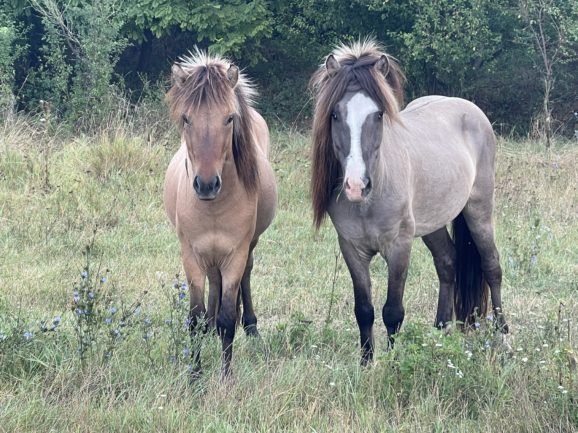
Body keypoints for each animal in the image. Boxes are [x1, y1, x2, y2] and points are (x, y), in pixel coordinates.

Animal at [164, 49, 276, 374]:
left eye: (229, 118)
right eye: (186, 118)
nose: (206, 184)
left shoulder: (235, 255)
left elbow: (228, 319)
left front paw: (225, 376)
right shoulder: (191, 255)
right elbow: (193, 318)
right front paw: (195, 373)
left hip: (248, 247)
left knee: (246, 276)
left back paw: (250, 326)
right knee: (214, 284)